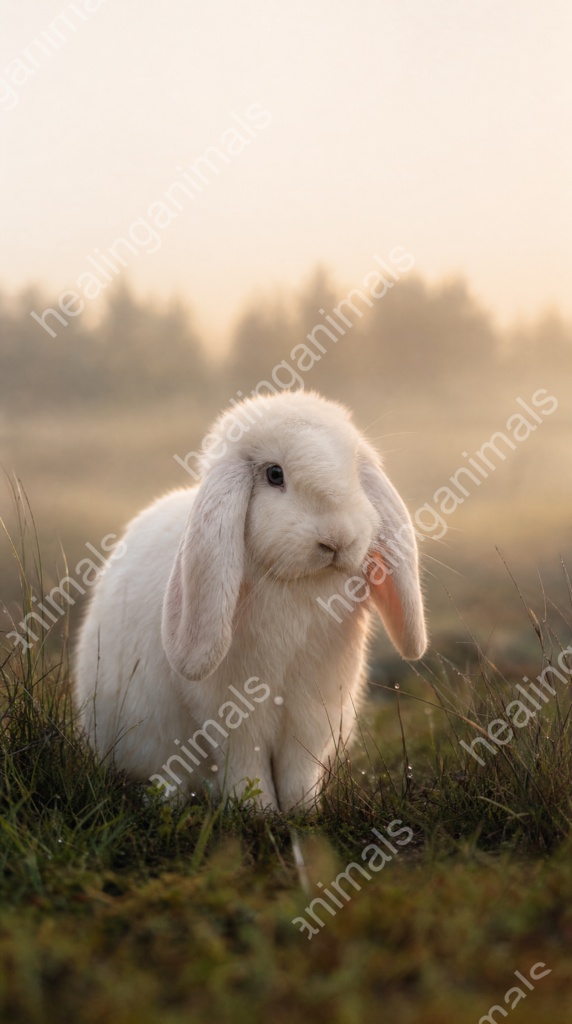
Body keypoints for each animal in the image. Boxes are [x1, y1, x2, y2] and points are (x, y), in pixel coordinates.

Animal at [74, 389, 427, 812]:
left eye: (356, 471)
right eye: (274, 474)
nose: (338, 538)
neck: (299, 585)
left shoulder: (313, 713)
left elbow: (299, 767)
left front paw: (304, 811)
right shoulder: (231, 715)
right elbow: (246, 763)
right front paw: (257, 812)